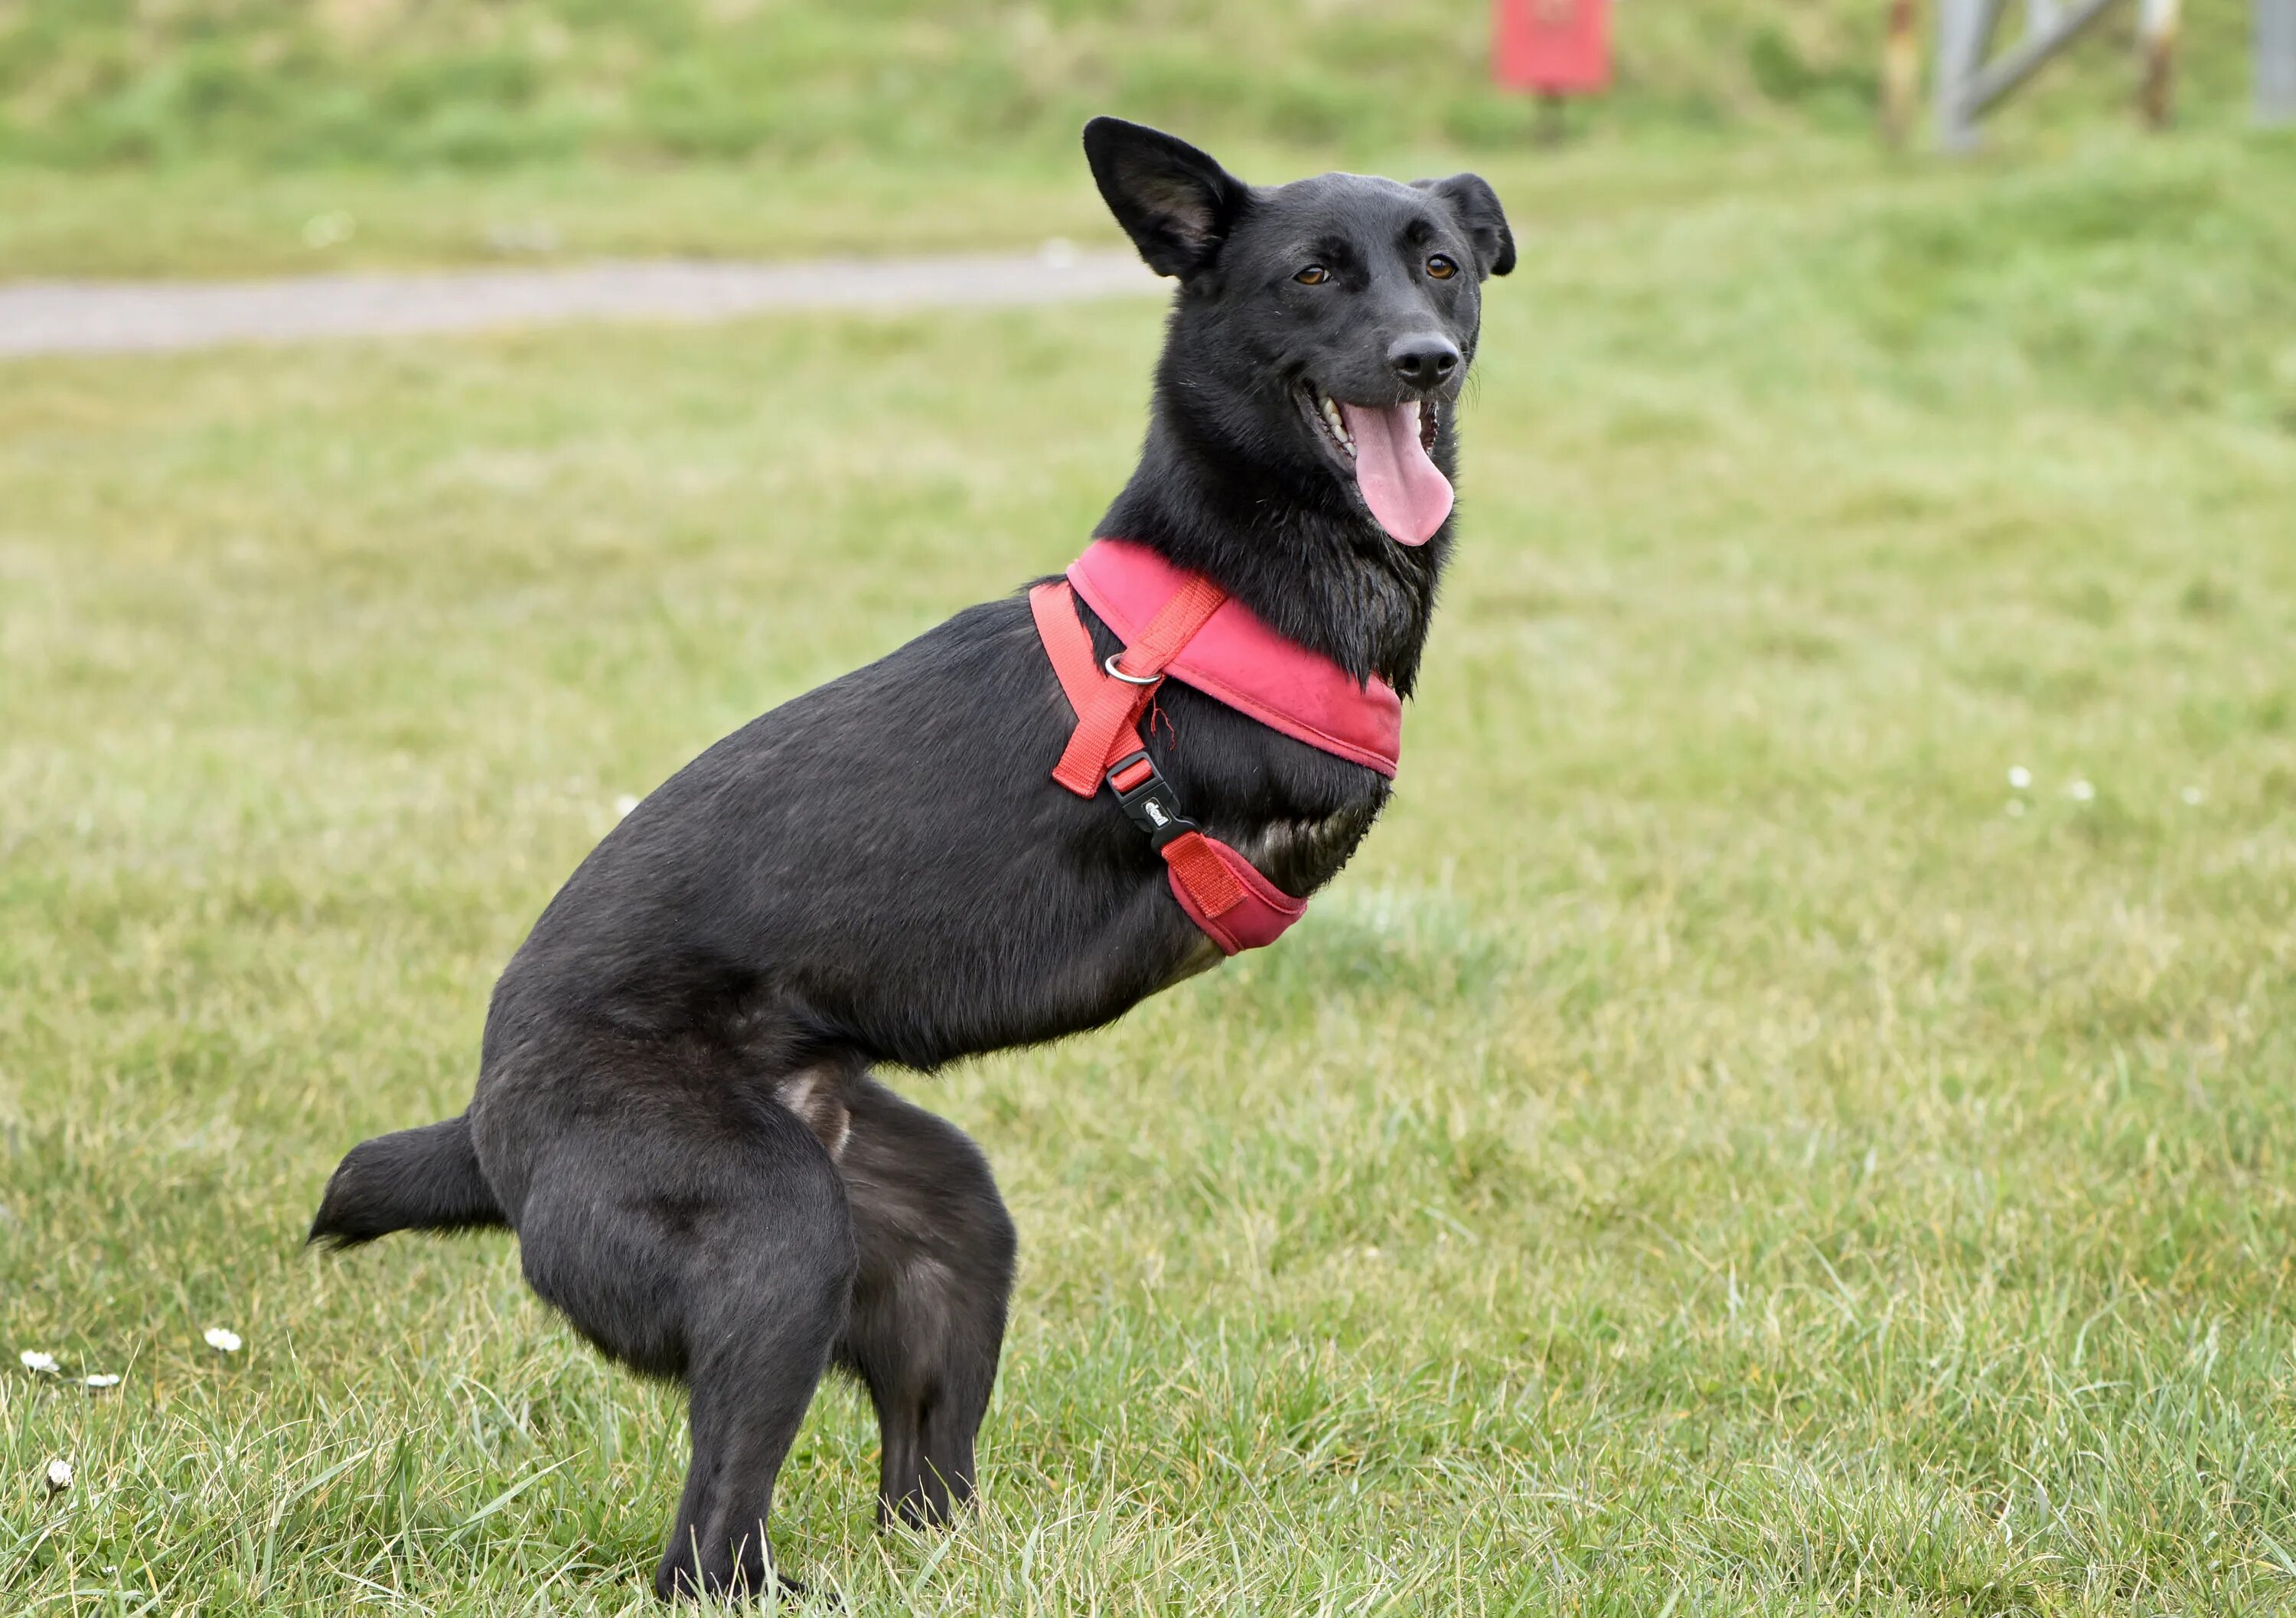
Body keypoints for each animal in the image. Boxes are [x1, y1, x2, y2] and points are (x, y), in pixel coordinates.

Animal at [310, 119, 1506, 1597]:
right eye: (1314, 275)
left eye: (1442, 266)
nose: (1425, 360)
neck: (1227, 578)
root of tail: (485, 1126)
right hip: (776, 1240)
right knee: (702, 1542)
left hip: (939, 1231)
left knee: (915, 1469)